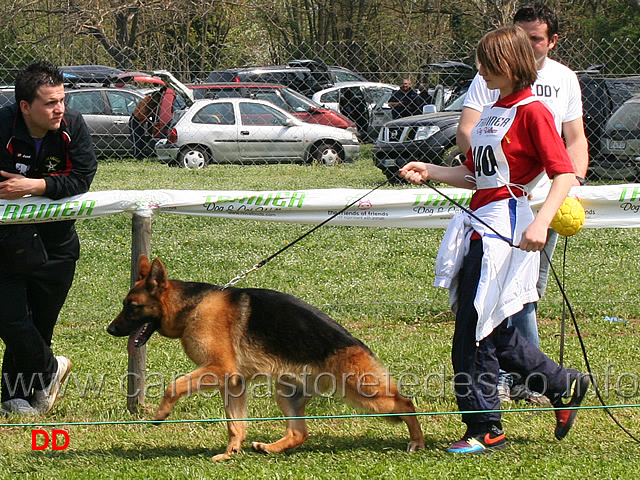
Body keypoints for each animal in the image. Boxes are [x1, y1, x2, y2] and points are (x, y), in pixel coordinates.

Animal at [109, 255, 424, 462]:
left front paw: (160, 415)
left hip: (364, 394)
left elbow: (173, 386)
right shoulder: (234, 382)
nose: (110, 330)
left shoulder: (219, 370)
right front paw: (231, 453)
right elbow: (235, 424)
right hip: (286, 393)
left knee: (406, 403)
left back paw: (417, 441)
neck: (192, 306)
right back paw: (270, 448)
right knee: (300, 432)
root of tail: (357, 344)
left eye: (132, 307)